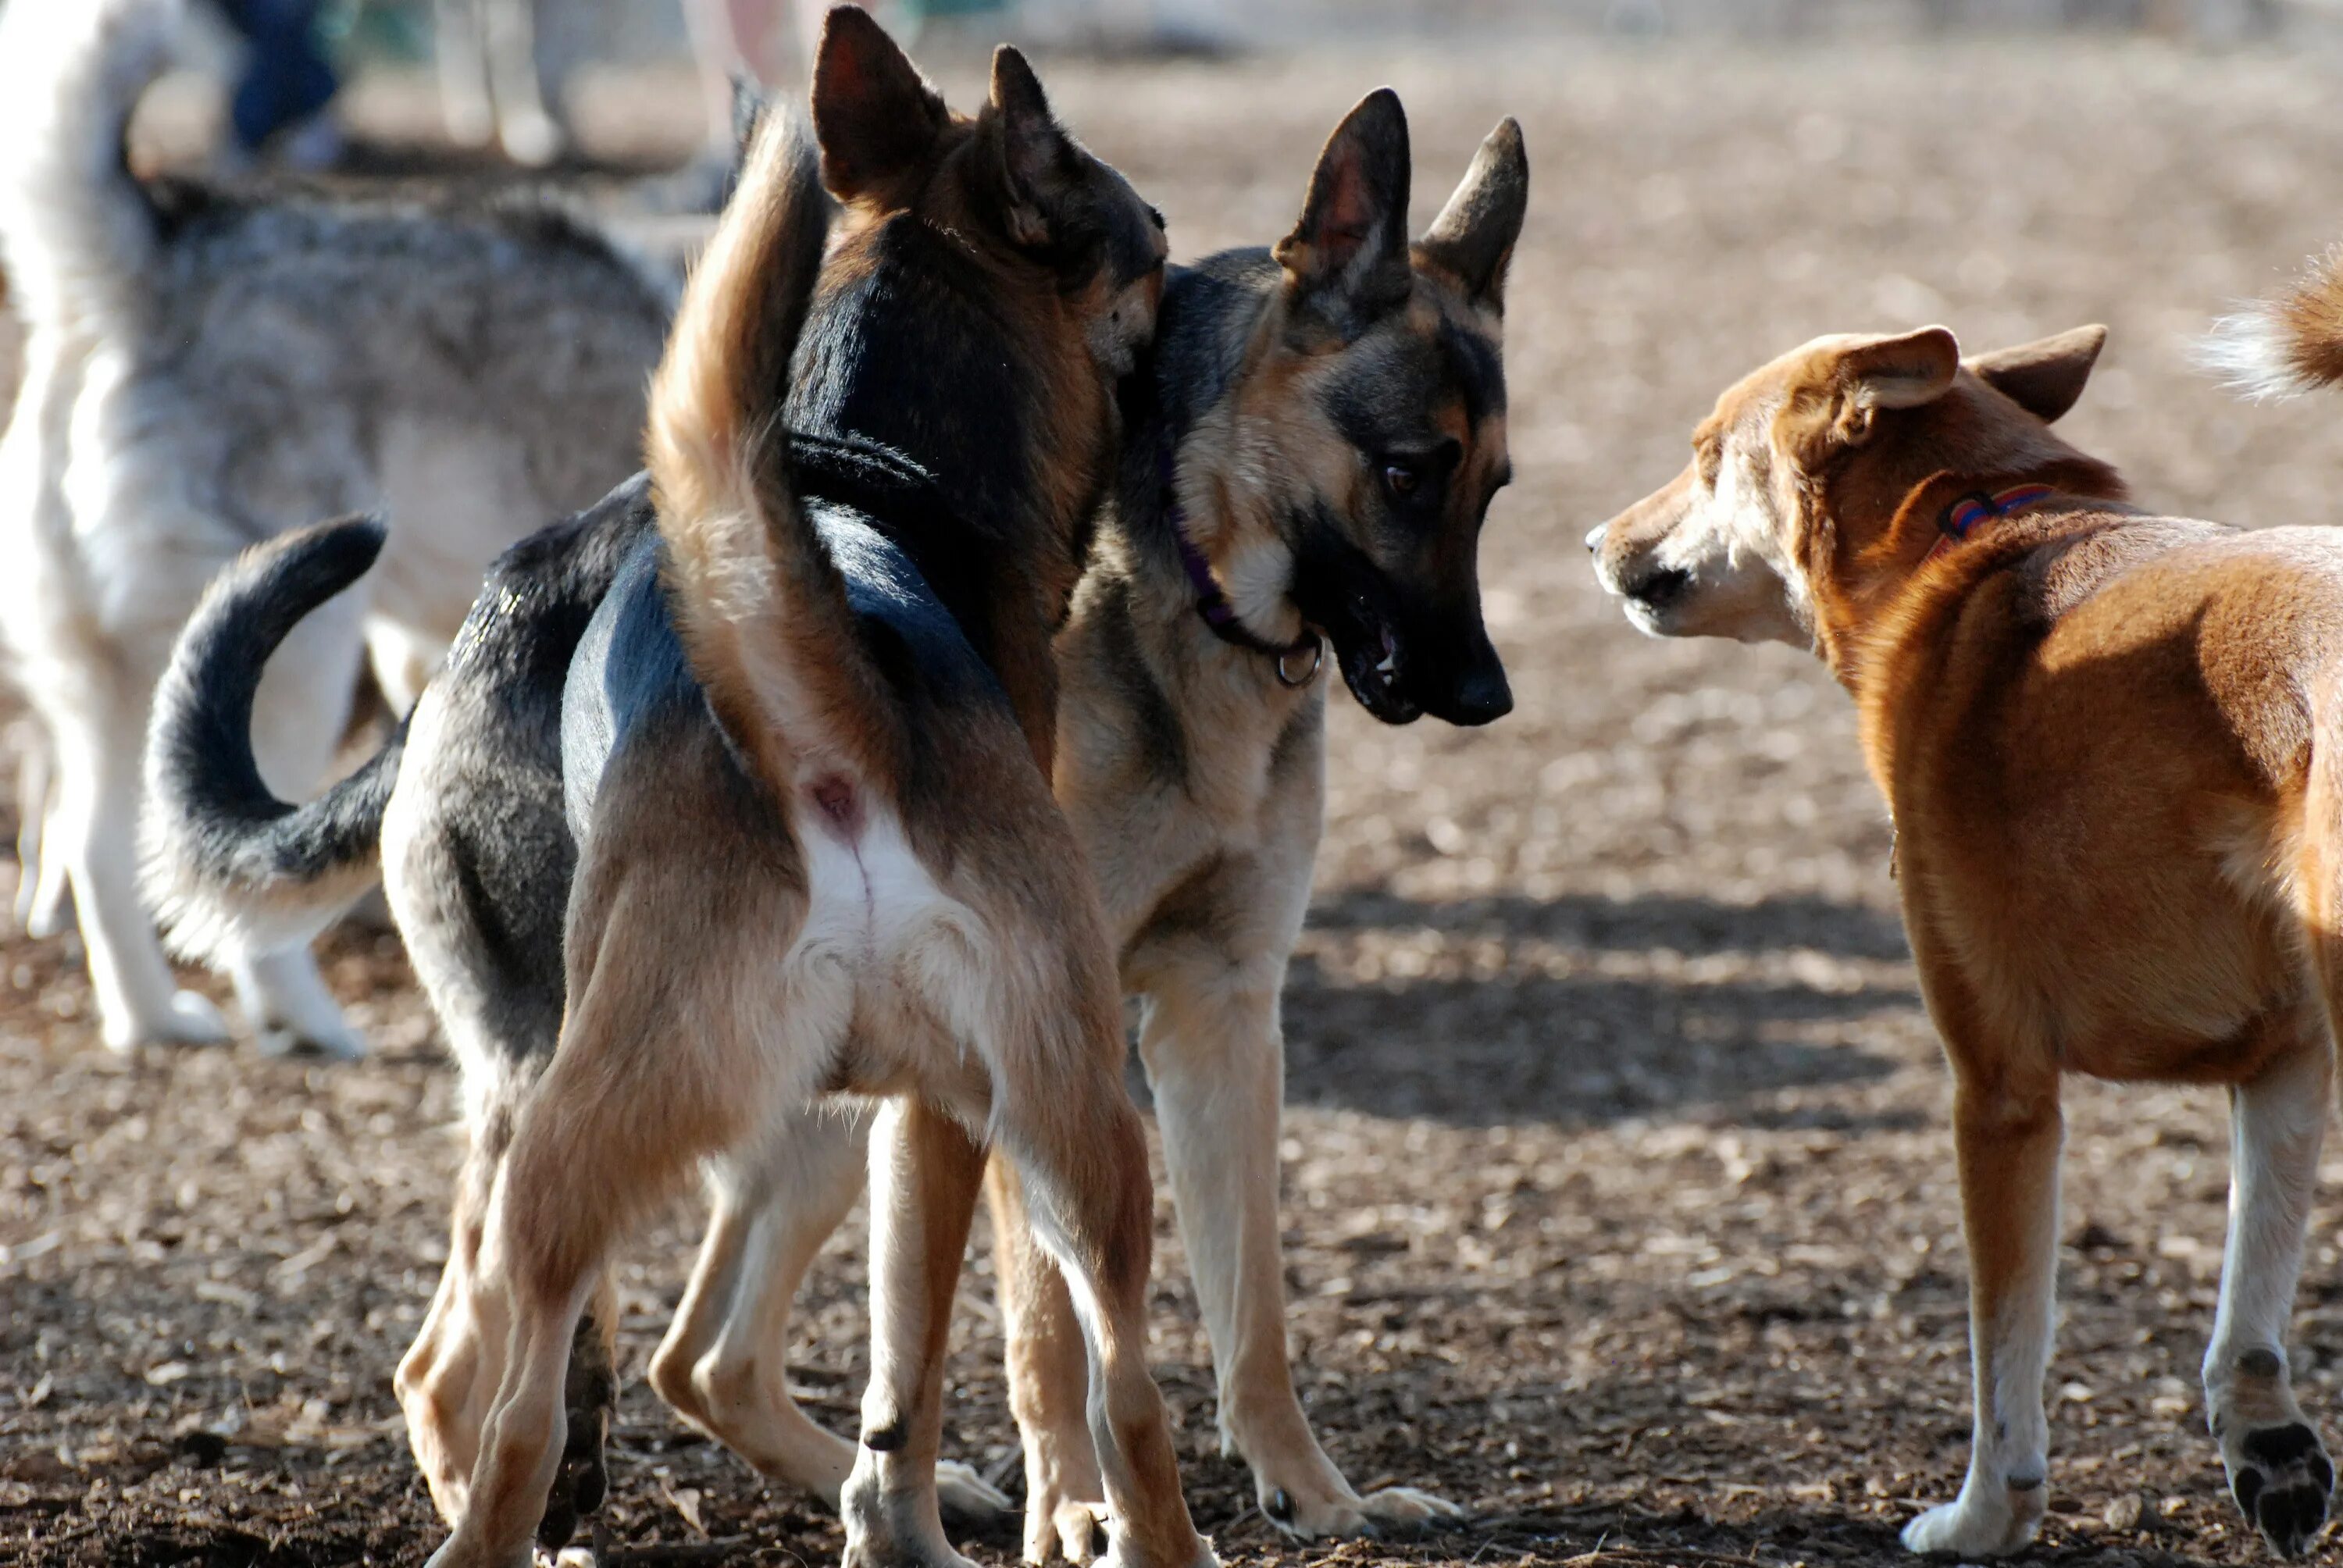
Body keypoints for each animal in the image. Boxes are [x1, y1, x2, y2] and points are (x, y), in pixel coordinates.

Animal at [155, 76, 1528, 1565]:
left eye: (1495, 486)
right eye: (1409, 471)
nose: (1486, 695)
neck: (1192, 570)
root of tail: (488, 619)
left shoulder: (1212, 1018)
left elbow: (1248, 1304)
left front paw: (1313, 1492)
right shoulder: (1034, 1072)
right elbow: (1043, 1337)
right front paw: (1075, 1511)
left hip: (794, 1107)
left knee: (681, 1355)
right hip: (705, 1097)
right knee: (479, 1359)